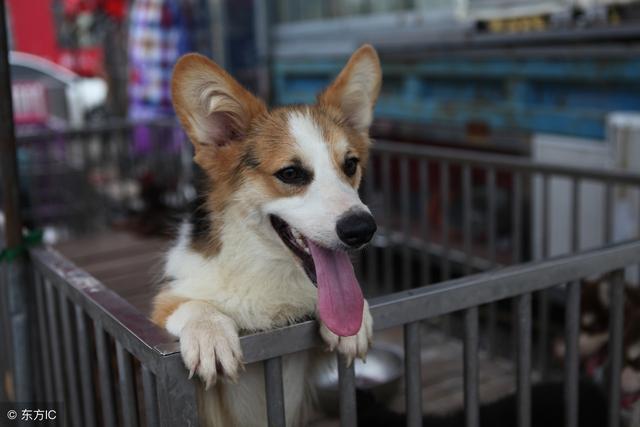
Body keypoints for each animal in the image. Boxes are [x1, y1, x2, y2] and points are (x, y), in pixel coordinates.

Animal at [150, 45, 380, 426]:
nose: (361, 229)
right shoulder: (166, 304)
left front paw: (356, 316)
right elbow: (188, 305)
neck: (267, 269)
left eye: (350, 164)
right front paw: (209, 333)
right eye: (290, 173)